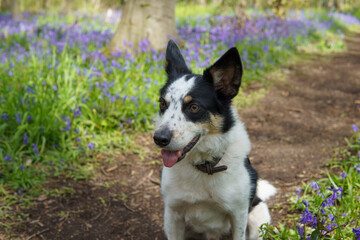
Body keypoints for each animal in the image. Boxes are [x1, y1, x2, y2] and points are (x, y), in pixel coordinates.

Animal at [153, 40, 278, 239]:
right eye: (163, 104)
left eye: (194, 107)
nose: (159, 139)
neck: (205, 166)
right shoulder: (173, 214)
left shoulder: (239, 214)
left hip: (259, 217)